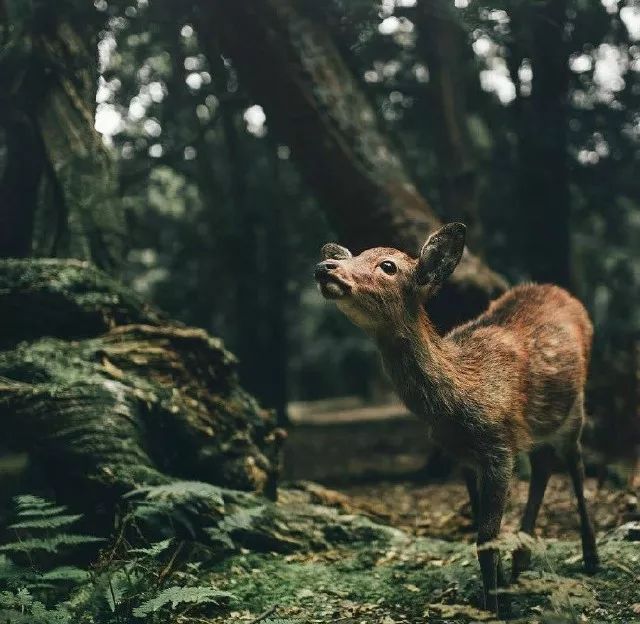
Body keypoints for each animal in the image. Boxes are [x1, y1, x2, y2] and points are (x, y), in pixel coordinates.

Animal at [316, 223, 600, 616]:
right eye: (353, 254)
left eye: (388, 265)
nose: (325, 266)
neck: (460, 397)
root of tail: (565, 294)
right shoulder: (464, 456)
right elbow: (479, 531)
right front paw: (493, 596)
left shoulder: (498, 449)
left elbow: (486, 536)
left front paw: (499, 608)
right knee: (543, 465)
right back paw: (521, 562)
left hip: (574, 410)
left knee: (575, 467)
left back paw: (591, 558)